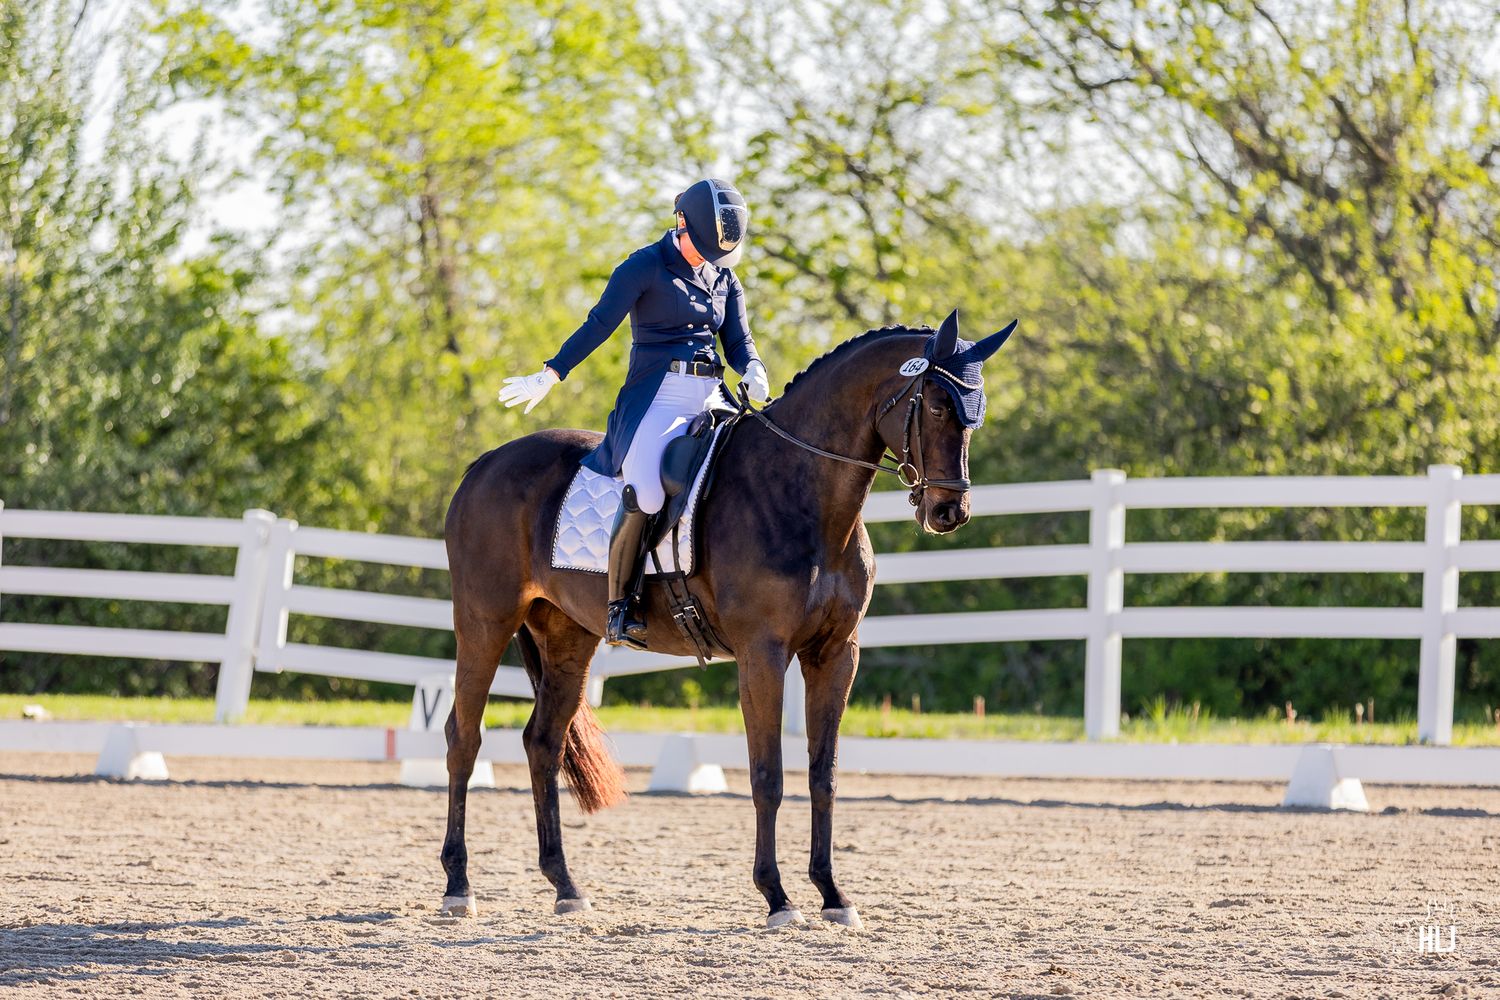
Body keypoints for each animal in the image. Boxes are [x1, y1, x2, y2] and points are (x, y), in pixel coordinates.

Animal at [440, 309, 1014, 928]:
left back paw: (566, 887)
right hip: (484, 623)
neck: (804, 493)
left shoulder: (836, 653)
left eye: (976, 412)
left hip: (569, 638)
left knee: (543, 743)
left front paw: (833, 894)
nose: (949, 511)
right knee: (463, 738)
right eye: (936, 407)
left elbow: (824, 774)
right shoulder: (762, 653)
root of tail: (484, 464)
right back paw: (458, 885)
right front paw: (777, 897)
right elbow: (768, 776)